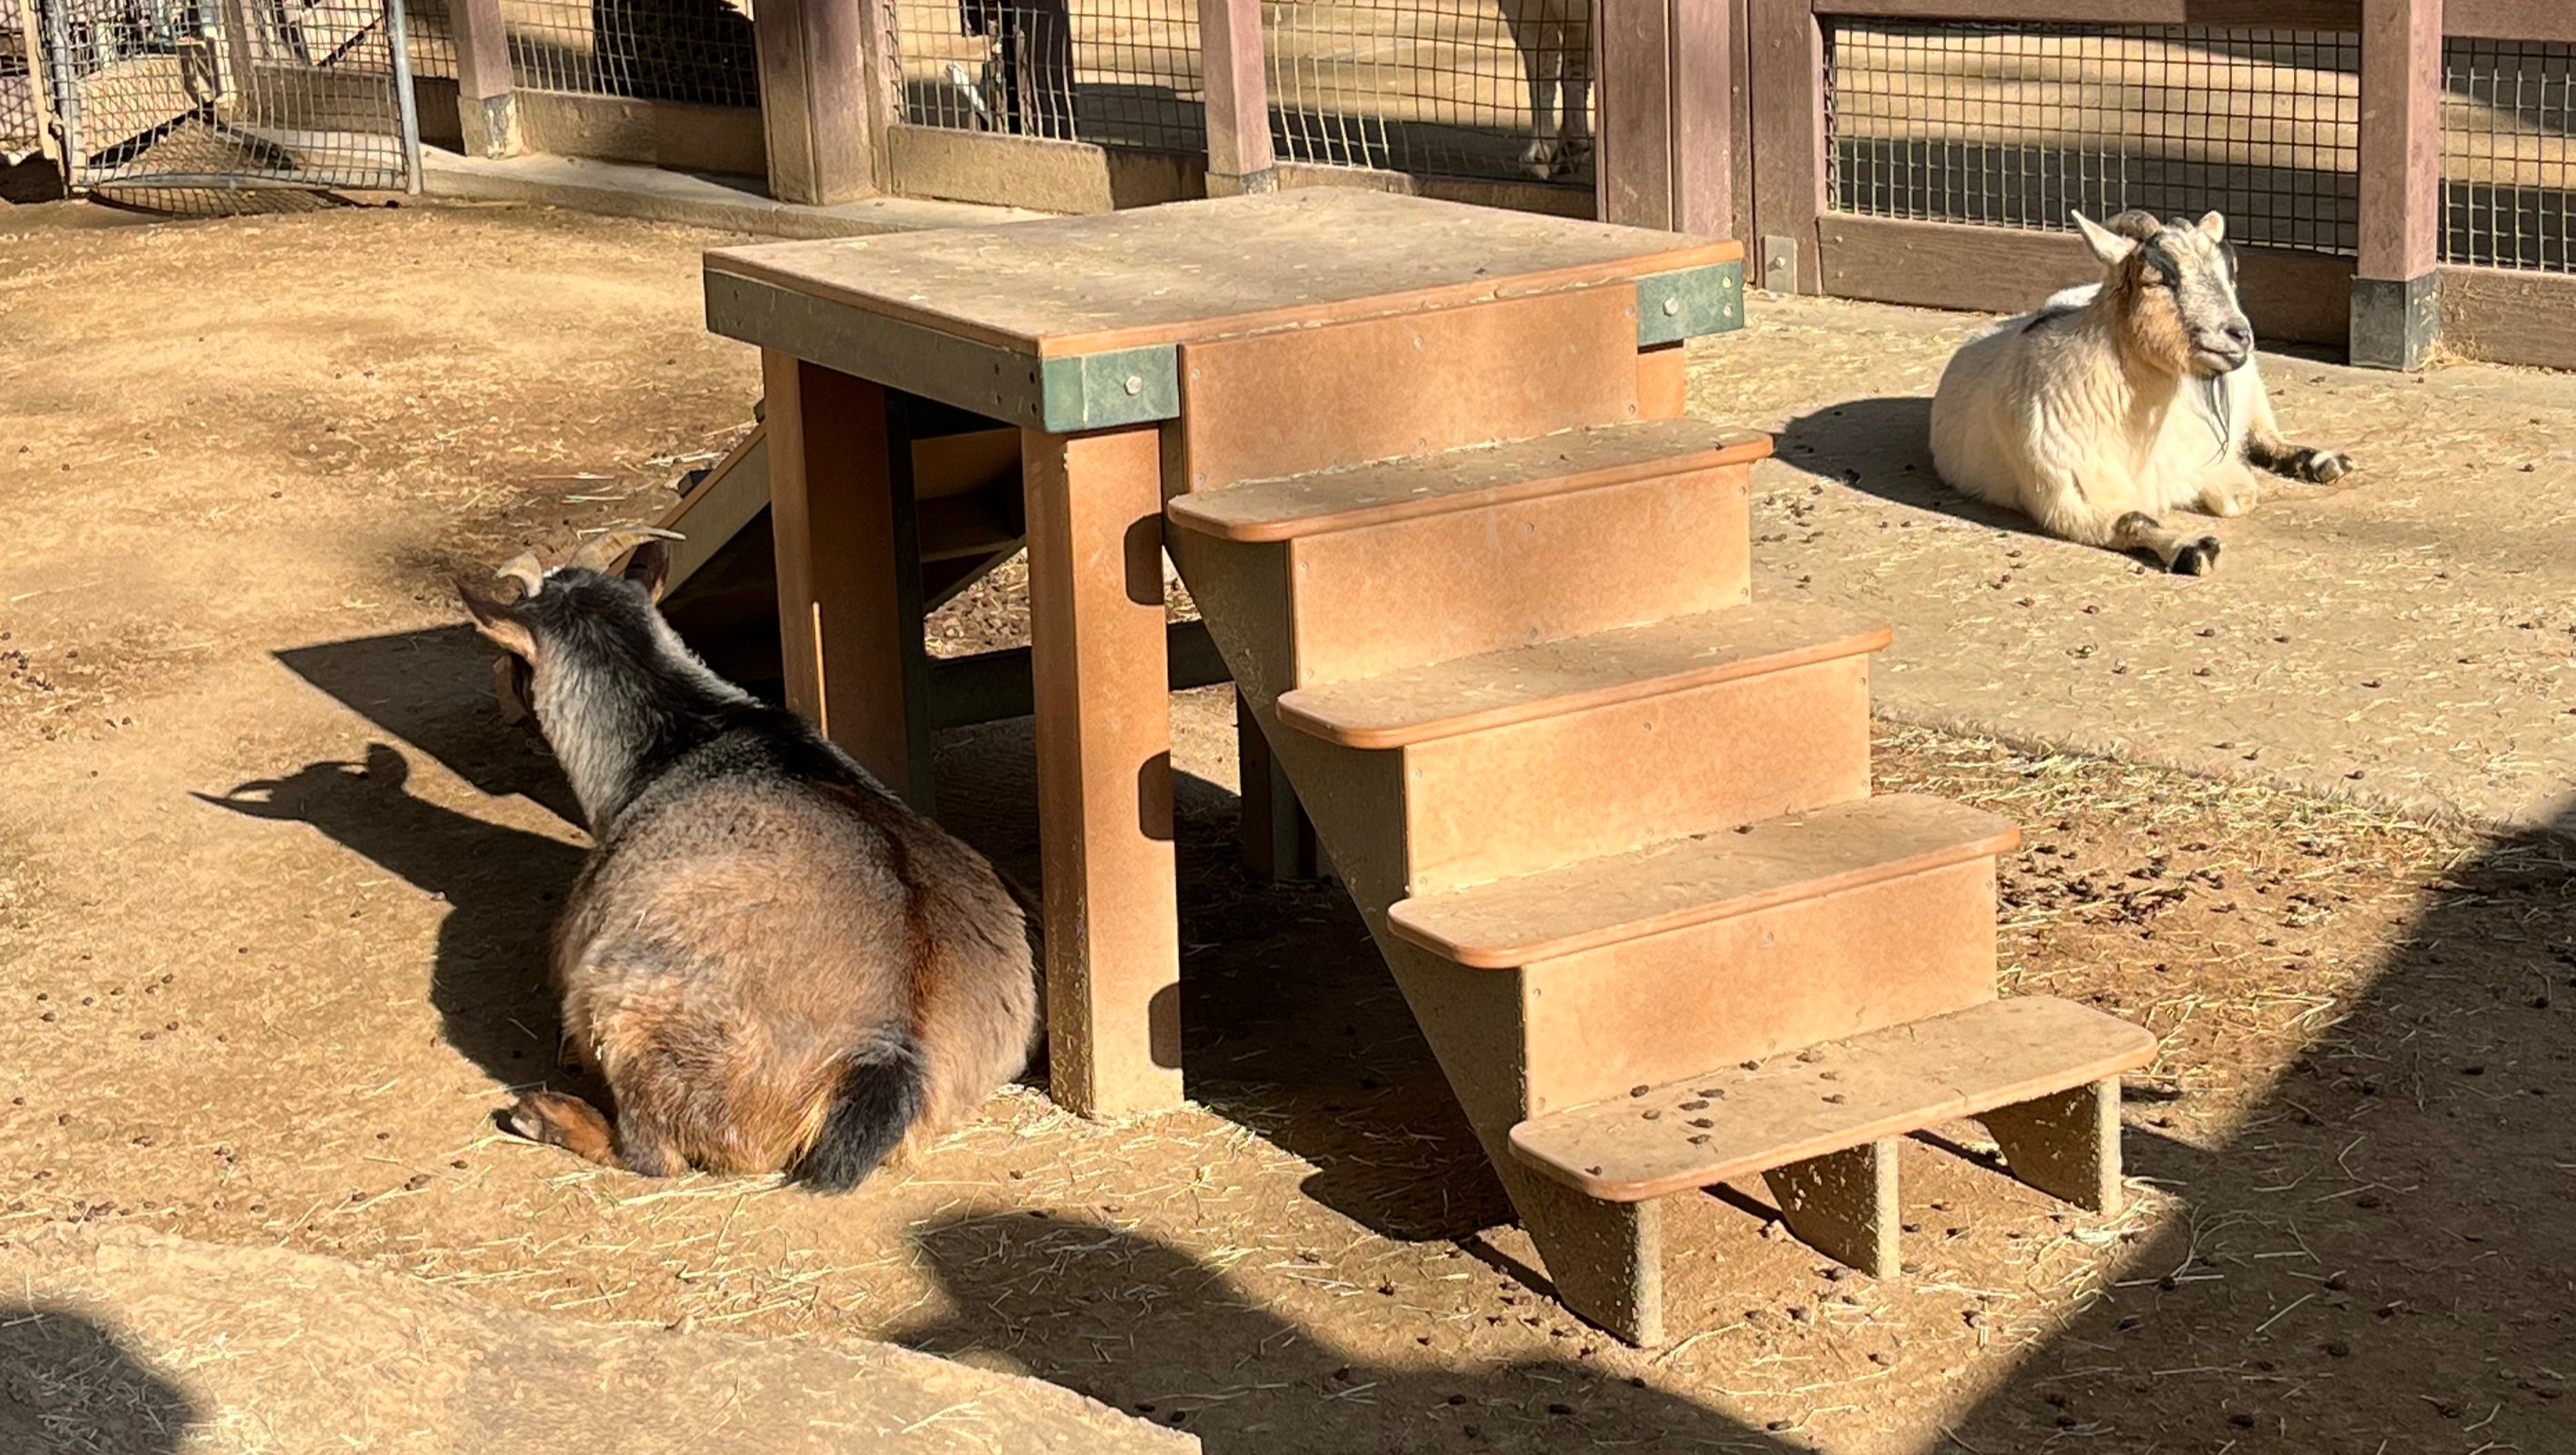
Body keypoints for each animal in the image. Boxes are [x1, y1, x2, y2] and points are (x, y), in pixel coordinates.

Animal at [458, 530, 1040, 1190]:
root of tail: (888, 1051)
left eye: (512, 660)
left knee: (652, 1156)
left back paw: (549, 1117)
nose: (504, 700)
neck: (686, 733)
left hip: (631, 1016)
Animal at [1929, 210, 2353, 575]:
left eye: (2229, 272)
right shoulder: (2067, 497)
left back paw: (2325, 462)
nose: (2238, 334)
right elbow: (2132, 518)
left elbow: (2237, 496)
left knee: (2266, 435)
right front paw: (2192, 547)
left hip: (2251, 384)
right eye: (2157, 278)